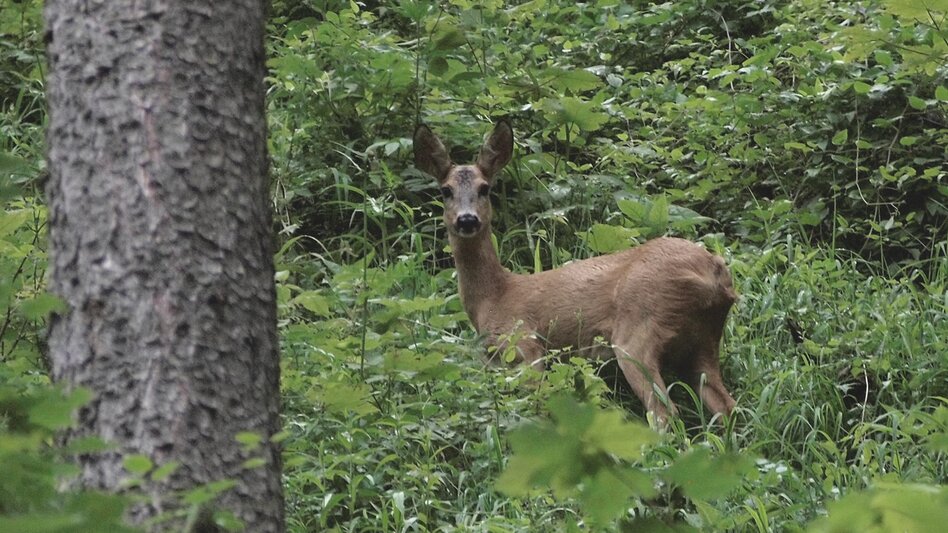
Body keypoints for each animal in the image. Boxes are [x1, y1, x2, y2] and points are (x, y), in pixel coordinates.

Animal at [413, 120, 737, 424]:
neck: (492, 298)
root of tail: (714, 272)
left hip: (639, 329)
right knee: (727, 406)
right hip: (703, 341)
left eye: (485, 188)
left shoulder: (525, 345)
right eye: (445, 190)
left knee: (664, 411)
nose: (467, 220)